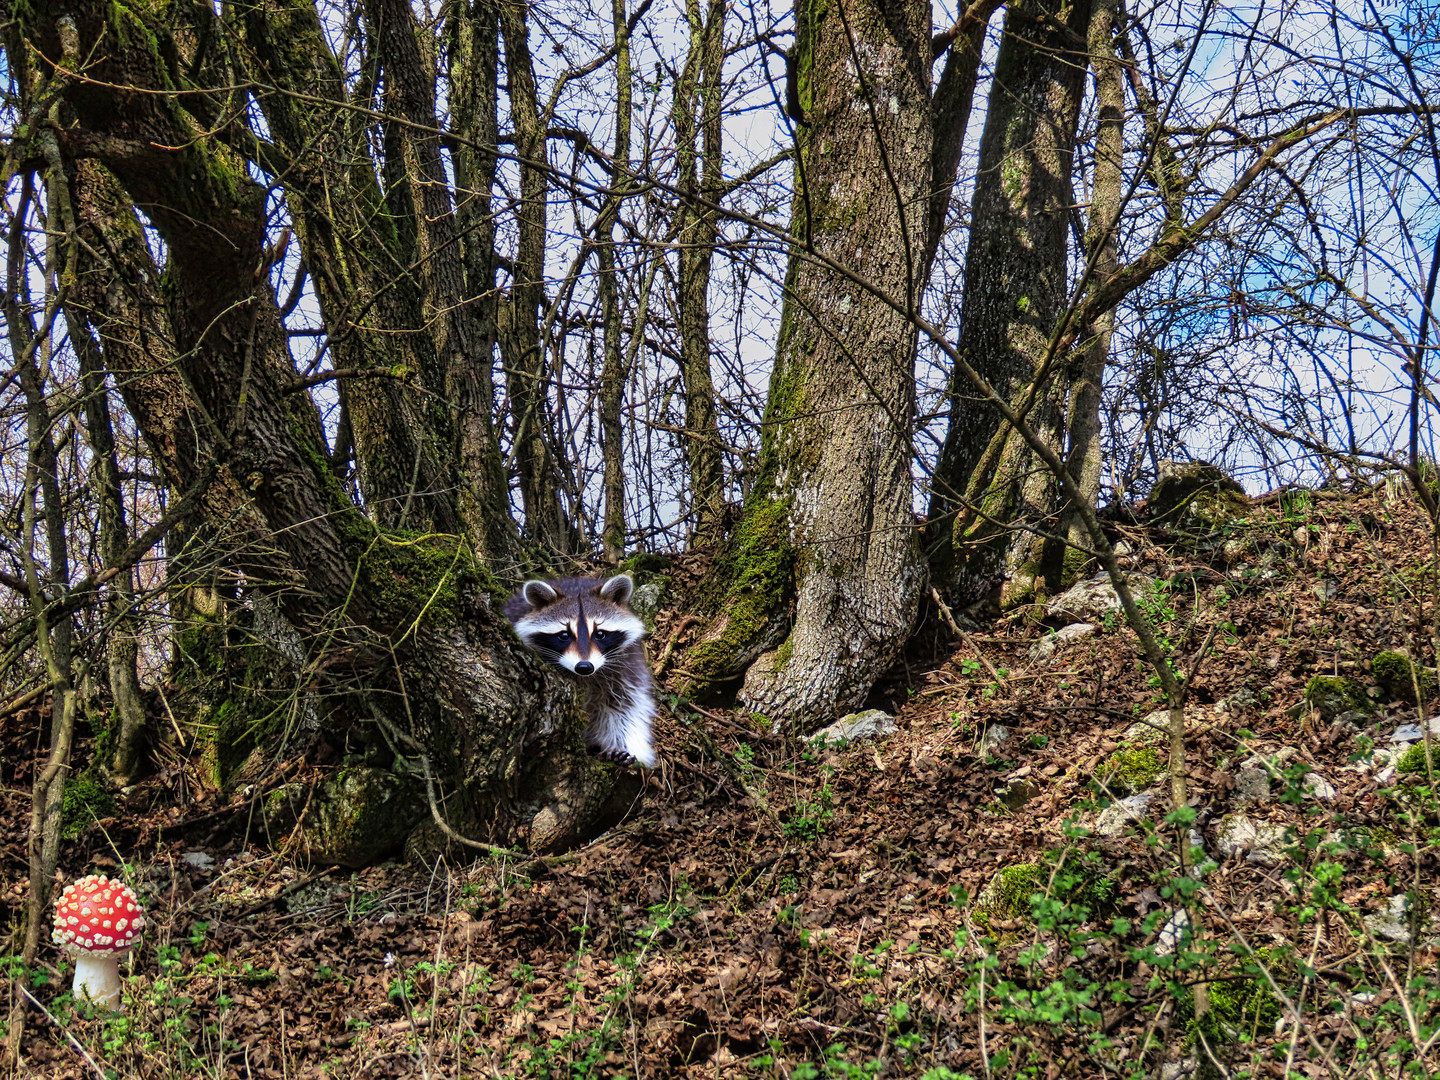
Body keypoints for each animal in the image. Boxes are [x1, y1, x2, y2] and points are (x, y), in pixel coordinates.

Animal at [504, 576, 659, 771]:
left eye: (600, 634)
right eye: (564, 635)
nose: (584, 666)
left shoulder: (627, 666)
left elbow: (625, 706)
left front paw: (623, 745)